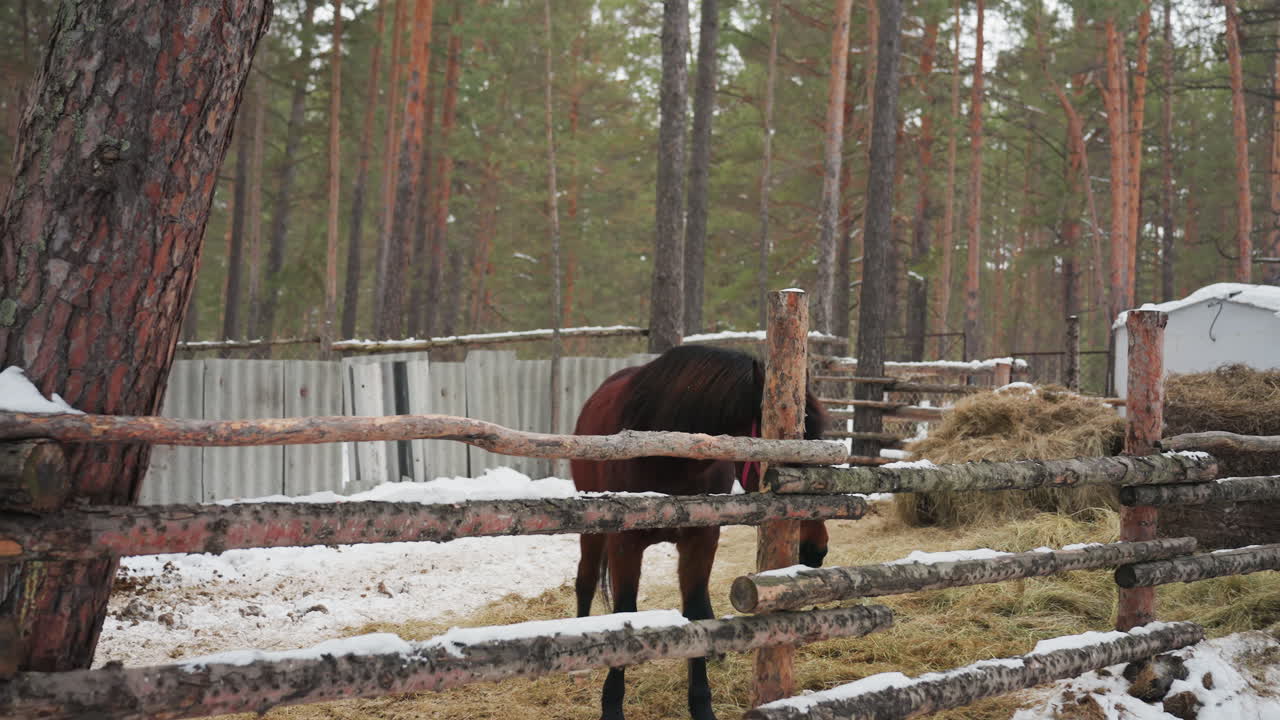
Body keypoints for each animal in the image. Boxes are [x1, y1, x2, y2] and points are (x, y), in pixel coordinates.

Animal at [571, 344, 829, 720]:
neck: (667, 458)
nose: (815, 549)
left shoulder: (702, 540)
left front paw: (702, 703)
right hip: (591, 531)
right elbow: (624, 612)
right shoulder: (624, 544)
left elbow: (696, 611)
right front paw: (612, 707)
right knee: (586, 580)